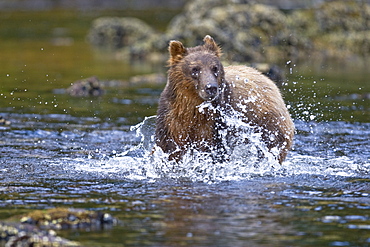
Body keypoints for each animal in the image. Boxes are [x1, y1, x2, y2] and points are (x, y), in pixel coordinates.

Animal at [155, 34, 294, 164]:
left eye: (214, 68)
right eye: (195, 69)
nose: (211, 87)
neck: (193, 105)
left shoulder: (214, 122)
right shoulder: (171, 119)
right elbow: (169, 147)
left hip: (269, 123)